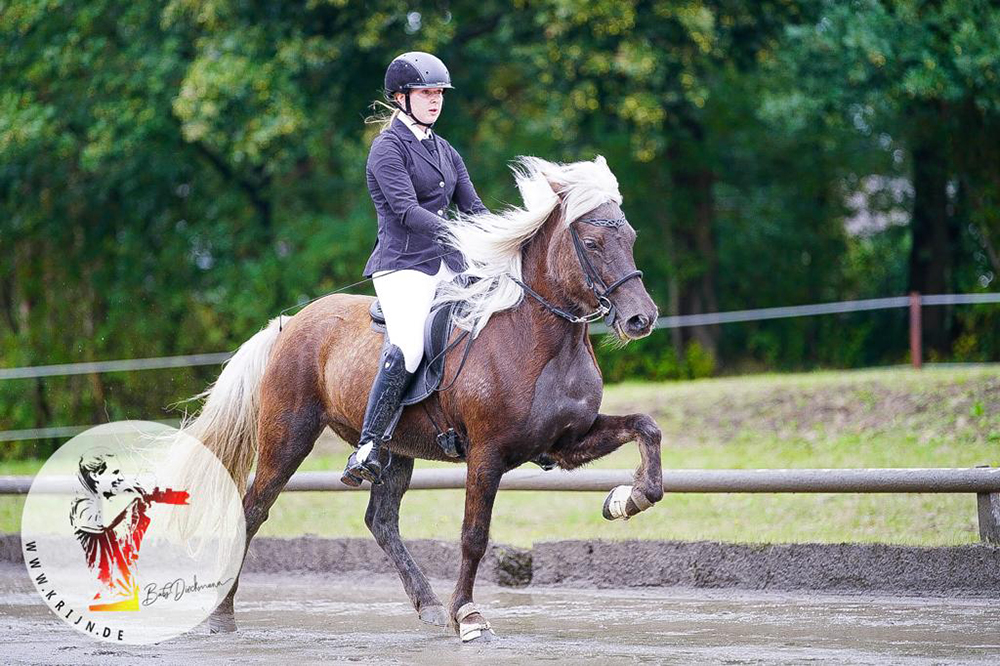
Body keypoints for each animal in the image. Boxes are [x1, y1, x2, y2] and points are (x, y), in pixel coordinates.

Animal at [180, 153, 664, 640]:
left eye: (631, 238)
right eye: (592, 242)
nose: (642, 319)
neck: (542, 338)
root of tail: (290, 324)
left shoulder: (565, 444)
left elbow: (647, 429)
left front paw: (627, 500)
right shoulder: (487, 453)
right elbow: (474, 535)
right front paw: (468, 615)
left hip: (394, 450)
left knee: (381, 521)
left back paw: (428, 604)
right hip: (288, 437)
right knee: (254, 510)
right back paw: (222, 615)